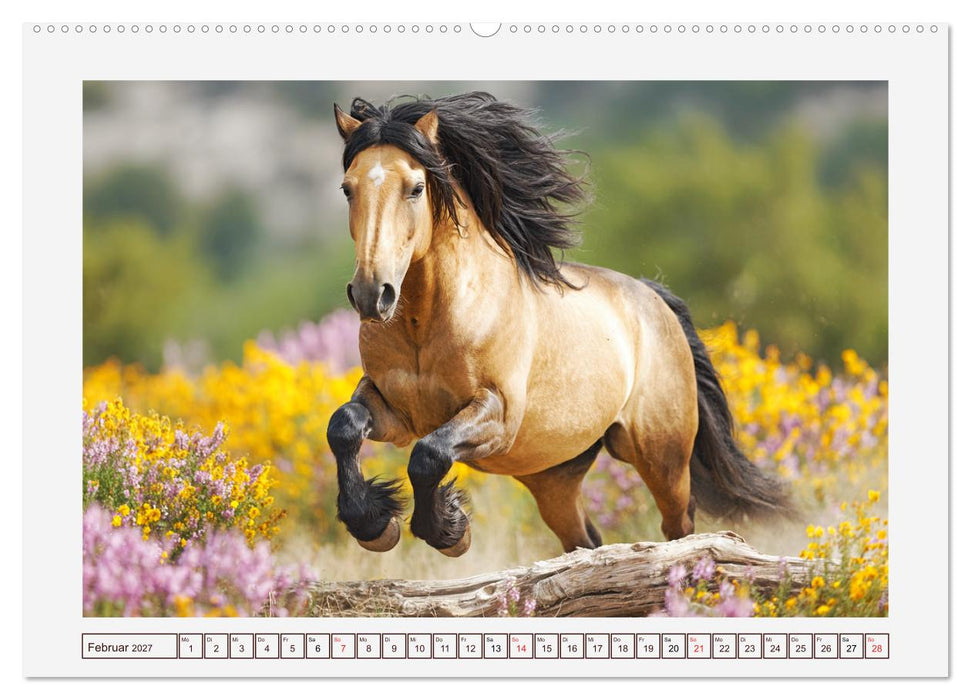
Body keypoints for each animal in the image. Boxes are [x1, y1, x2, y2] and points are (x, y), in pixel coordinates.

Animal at [326, 92, 793, 557]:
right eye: (347, 188)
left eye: (416, 188)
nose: (371, 294)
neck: (425, 321)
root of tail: (653, 298)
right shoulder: (396, 411)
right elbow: (344, 426)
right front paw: (374, 524)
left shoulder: (497, 415)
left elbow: (429, 456)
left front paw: (449, 530)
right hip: (554, 475)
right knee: (584, 540)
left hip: (662, 457)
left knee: (679, 525)